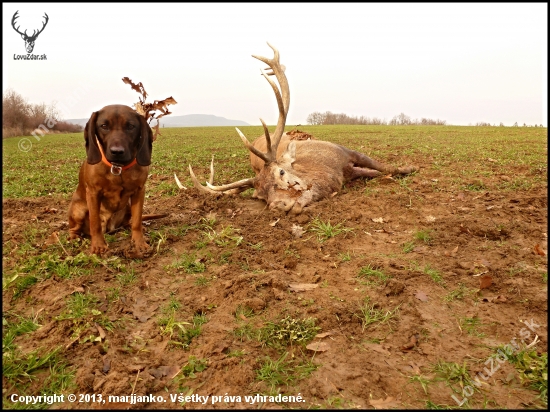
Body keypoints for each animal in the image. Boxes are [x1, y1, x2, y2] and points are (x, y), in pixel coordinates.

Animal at [70, 104, 155, 256]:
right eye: (104, 126)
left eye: (130, 126)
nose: (117, 151)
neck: (118, 168)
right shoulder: (93, 193)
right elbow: (95, 223)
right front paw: (98, 245)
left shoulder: (139, 191)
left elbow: (137, 221)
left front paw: (139, 243)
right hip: (78, 210)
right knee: (73, 228)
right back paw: (75, 237)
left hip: (127, 206)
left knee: (129, 222)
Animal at [178, 43, 418, 214]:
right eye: (259, 196)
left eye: (281, 172)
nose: (278, 206)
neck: (332, 172)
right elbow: (376, 173)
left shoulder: (346, 152)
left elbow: (387, 167)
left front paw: (410, 168)